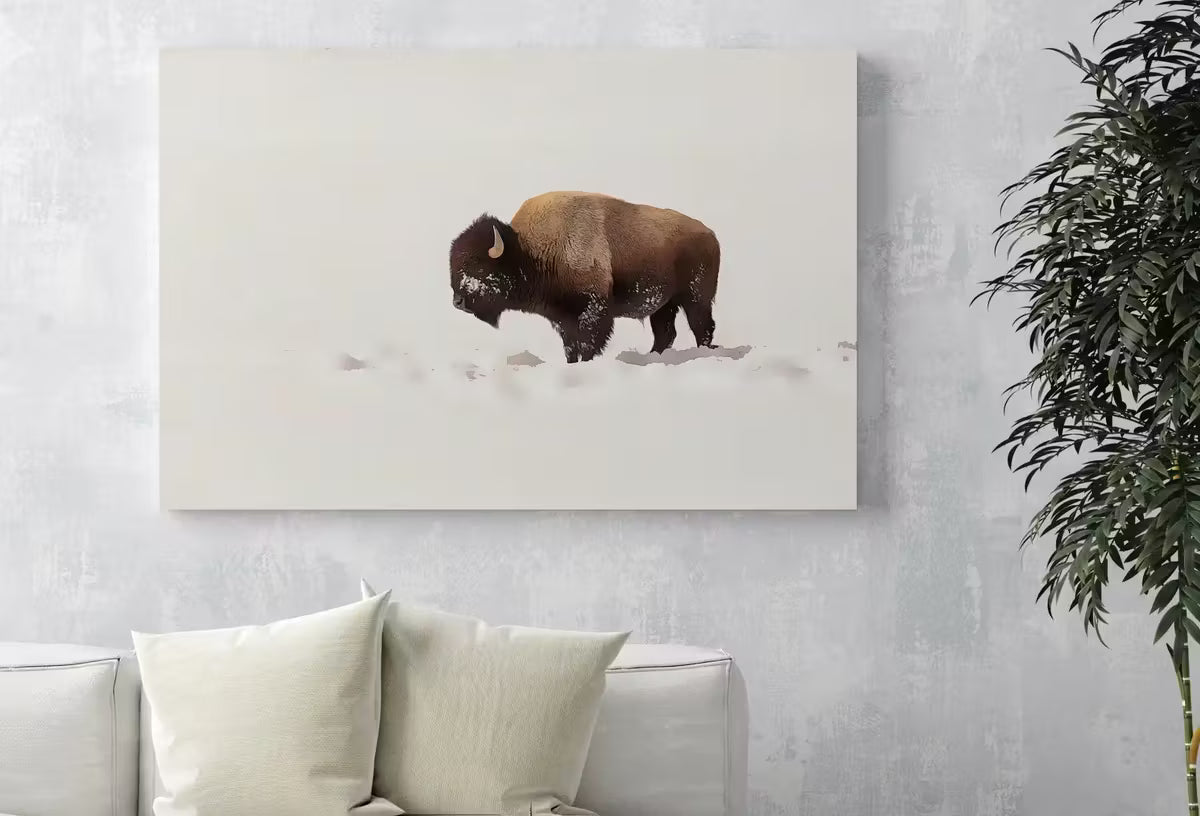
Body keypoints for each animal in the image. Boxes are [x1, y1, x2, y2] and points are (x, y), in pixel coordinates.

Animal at [448, 191, 721, 363]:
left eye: (478, 266)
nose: (457, 302)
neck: (529, 250)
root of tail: (710, 234)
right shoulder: (563, 318)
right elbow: (571, 346)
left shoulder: (593, 309)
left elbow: (589, 343)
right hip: (664, 305)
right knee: (666, 333)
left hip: (696, 298)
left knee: (702, 327)